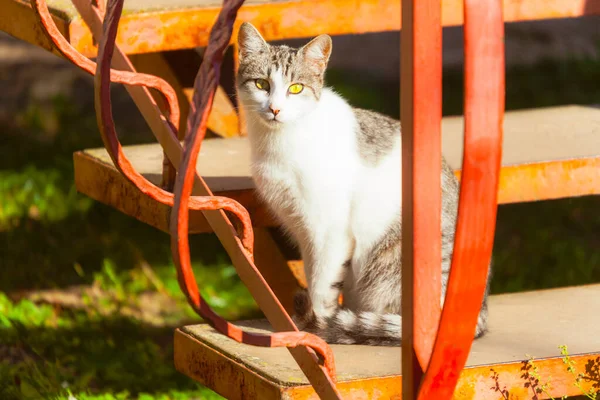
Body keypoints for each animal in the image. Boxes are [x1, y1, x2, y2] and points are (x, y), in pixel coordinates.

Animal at [232, 21, 490, 346]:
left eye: (296, 88)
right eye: (261, 84)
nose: (275, 109)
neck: (280, 142)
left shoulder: (329, 229)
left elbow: (322, 284)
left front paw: (318, 324)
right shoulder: (302, 228)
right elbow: (313, 273)